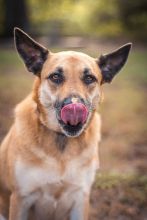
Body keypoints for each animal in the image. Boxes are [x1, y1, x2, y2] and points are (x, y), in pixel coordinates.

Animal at [0, 27, 131, 220]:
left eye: (89, 78)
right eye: (55, 76)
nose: (74, 104)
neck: (61, 142)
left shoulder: (80, 198)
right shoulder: (20, 198)